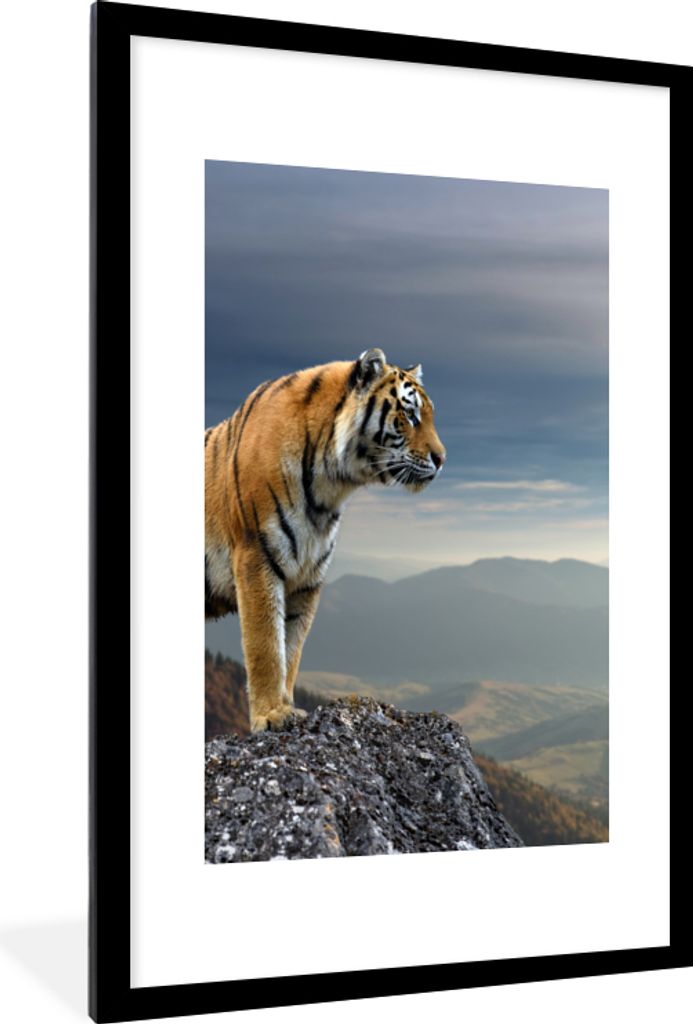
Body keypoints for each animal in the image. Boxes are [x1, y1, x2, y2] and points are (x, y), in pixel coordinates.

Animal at [205, 348, 446, 733]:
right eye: (409, 415)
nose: (442, 459)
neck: (329, 485)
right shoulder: (257, 558)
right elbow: (265, 644)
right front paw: (271, 715)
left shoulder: (307, 577)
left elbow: (291, 648)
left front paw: (286, 705)